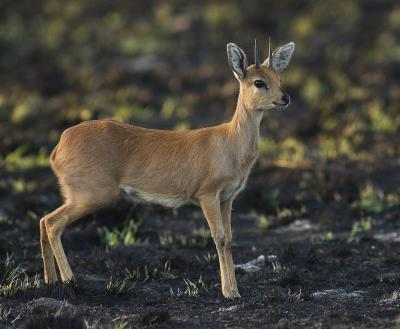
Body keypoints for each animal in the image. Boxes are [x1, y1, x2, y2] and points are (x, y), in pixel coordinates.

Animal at [39, 38, 294, 298]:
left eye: (278, 78)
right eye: (259, 82)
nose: (285, 98)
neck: (231, 142)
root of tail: (60, 145)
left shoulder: (227, 198)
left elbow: (230, 240)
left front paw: (234, 290)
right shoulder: (208, 196)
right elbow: (219, 238)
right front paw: (228, 292)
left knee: (43, 221)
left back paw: (50, 281)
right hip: (91, 196)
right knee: (52, 223)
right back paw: (70, 281)